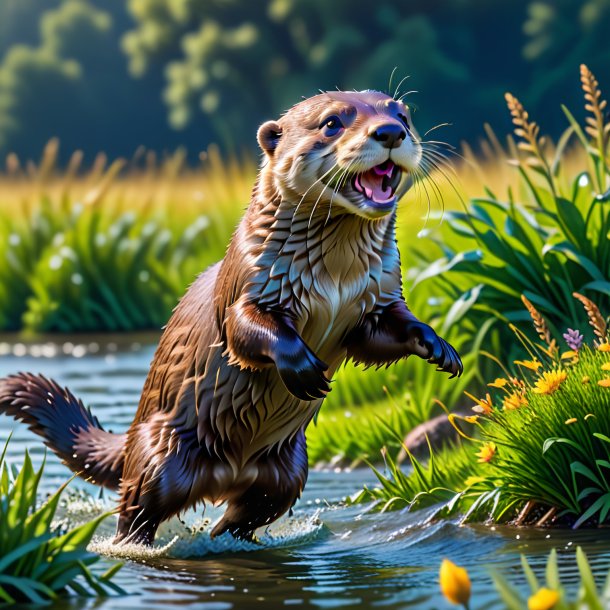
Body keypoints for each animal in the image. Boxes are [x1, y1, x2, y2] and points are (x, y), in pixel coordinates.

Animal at [0, 89, 458, 540]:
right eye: (332, 122)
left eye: (403, 114)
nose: (390, 132)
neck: (335, 280)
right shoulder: (251, 283)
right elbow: (246, 330)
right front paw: (304, 369)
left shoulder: (377, 298)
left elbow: (382, 335)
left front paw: (437, 346)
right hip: (159, 454)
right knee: (135, 510)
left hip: (288, 471)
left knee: (245, 514)